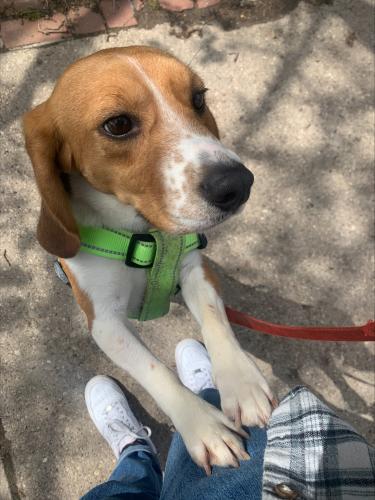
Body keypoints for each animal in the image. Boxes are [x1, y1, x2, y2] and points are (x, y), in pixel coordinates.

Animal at [24, 46, 276, 472]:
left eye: (198, 98)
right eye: (118, 124)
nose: (238, 184)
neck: (143, 234)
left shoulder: (193, 268)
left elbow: (215, 318)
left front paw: (241, 382)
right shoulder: (105, 322)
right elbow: (155, 370)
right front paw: (203, 425)